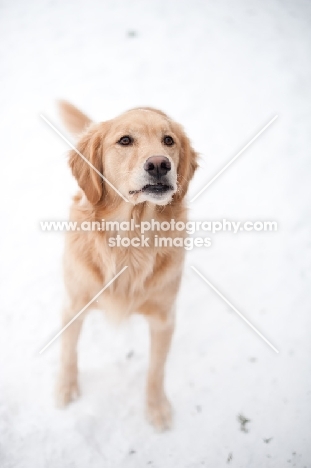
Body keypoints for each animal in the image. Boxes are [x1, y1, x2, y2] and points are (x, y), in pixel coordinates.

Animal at [55, 102, 197, 432]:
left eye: (168, 141)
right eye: (125, 140)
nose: (159, 164)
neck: (130, 243)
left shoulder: (164, 319)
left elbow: (156, 370)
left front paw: (156, 408)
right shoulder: (73, 304)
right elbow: (68, 350)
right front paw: (66, 388)